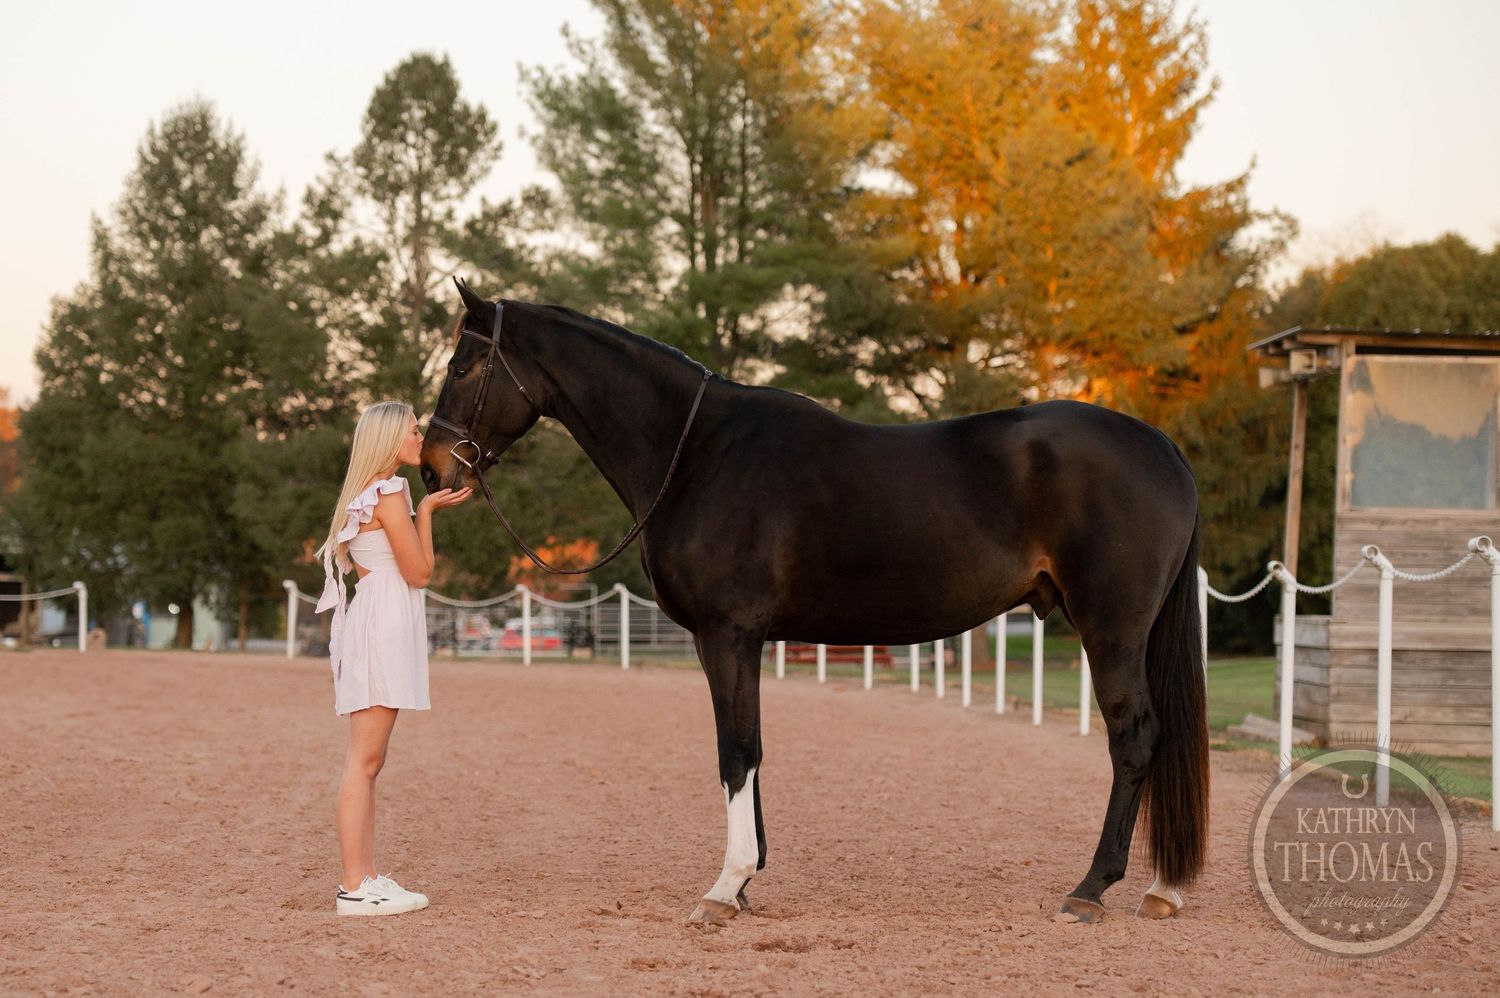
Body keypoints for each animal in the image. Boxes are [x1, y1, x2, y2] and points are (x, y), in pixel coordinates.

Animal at [420, 281, 1208, 925]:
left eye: (461, 368)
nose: (430, 469)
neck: (696, 451)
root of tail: (1162, 445)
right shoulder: (744, 639)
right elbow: (752, 748)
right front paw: (746, 882)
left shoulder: (726, 633)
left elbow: (735, 750)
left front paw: (724, 888)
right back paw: (1163, 887)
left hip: (1111, 628)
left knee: (1135, 737)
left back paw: (1091, 889)